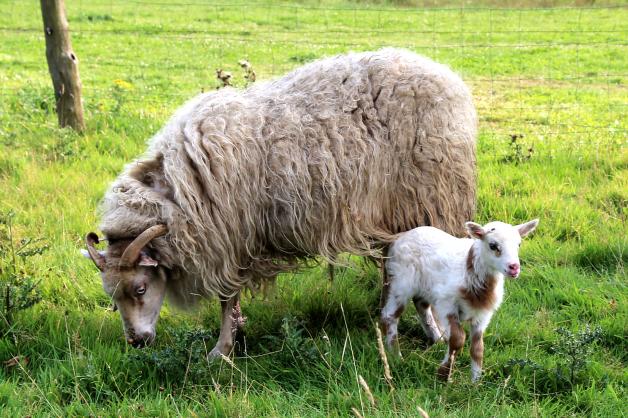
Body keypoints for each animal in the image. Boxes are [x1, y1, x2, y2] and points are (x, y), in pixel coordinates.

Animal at [82, 49, 476, 356]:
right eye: (110, 297)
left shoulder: (228, 240)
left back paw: (433, 331)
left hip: (429, 199)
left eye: (140, 288)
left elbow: (227, 299)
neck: (175, 195)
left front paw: (221, 350)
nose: (137, 342)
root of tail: (447, 76)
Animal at [378, 219, 540, 382]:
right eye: (493, 245)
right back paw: (395, 357)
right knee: (389, 315)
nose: (514, 267)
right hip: (401, 281)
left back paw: (436, 339)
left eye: (519, 244)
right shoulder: (447, 304)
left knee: (421, 305)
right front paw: (443, 374)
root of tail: (400, 237)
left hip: (424, 287)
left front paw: (475, 382)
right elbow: (457, 339)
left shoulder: (483, 314)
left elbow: (478, 347)